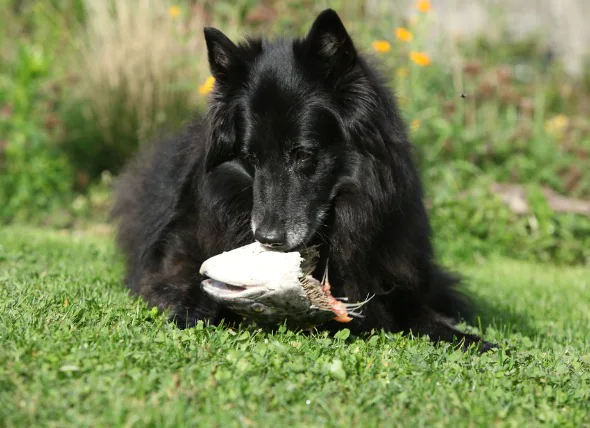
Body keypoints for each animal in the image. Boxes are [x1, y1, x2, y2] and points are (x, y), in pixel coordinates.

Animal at [111, 9, 494, 352]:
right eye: (251, 157)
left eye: (304, 154)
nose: (267, 239)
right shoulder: (173, 265)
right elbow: (185, 291)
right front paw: (190, 315)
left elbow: (430, 320)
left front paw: (478, 343)